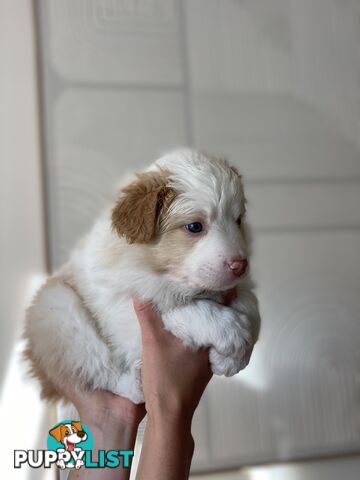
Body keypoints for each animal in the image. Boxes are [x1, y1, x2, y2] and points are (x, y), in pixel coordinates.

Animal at [23, 148, 260, 404]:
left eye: (238, 220)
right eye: (195, 227)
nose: (240, 265)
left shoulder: (240, 286)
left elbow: (252, 307)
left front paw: (234, 358)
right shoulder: (122, 309)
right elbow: (175, 309)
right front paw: (230, 332)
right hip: (59, 313)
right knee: (100, 371)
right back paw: (134, 383)